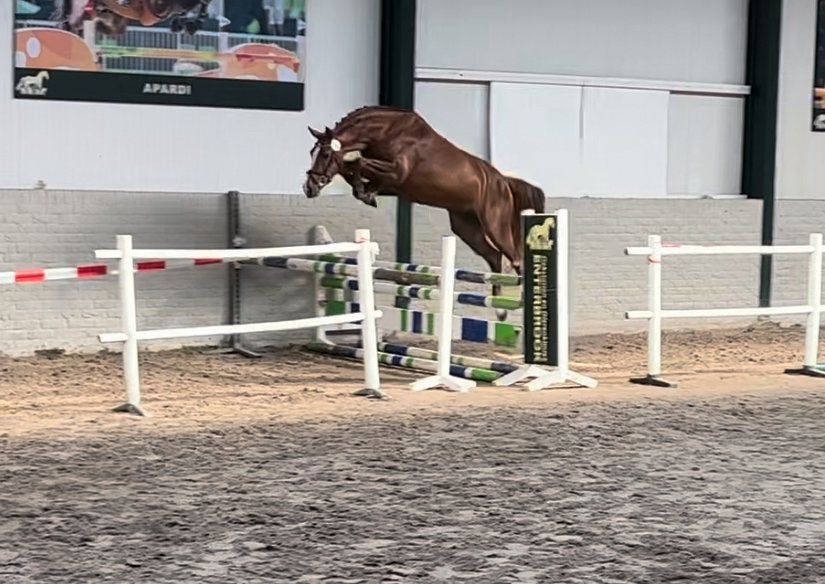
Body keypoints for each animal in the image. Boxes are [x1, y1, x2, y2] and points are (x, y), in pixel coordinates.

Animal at [302, 105, 546, 320]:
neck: (387, 132)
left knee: (515, 258)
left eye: (325, 154)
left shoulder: (397, 172)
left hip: (495, 224)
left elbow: (357, 162)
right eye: (311, 152)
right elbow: (354, 168)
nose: (309, 188)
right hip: (466, 226)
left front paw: (364, 191)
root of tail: (503, 181)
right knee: (494, 256)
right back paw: (500, 310)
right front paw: (365, 192)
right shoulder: (391, 181)